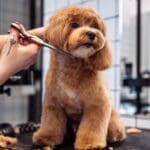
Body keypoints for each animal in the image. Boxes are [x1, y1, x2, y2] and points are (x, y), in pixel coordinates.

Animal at [33, 6, 126, 149]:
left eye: (94, 26)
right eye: (74, 24)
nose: (92, 34)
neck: (72, 67)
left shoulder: (97, 104)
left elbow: (92, 127)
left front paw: (90, 143)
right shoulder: (53, 103)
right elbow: (51, 123)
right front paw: (46, 138)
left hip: (112, 118)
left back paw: (115, 136)